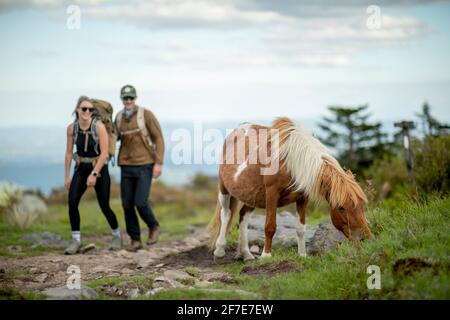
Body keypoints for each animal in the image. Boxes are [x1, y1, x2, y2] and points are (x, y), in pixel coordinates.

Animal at [209, 116, 370, 262]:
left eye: (363, 205)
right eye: (341, 207)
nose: (365, 238)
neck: (291, 163)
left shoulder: (303, 197)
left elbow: (301, 228)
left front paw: (302, 255)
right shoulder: (272, 194)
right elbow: (270, 226)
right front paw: (266, 256)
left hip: (251, 195)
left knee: (243, 217)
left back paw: (246, 254)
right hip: (224, 189)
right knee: (226, 214)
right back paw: (220, 250)